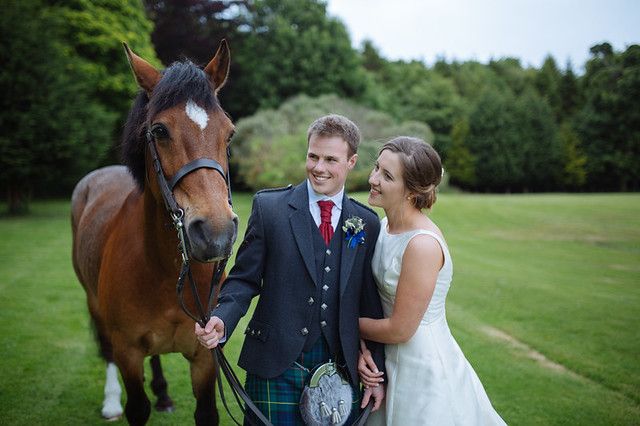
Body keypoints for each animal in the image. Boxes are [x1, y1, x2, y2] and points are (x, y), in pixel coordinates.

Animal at [71, 40, 237, 425]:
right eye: (160, 131)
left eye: (229, 133)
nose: (217, 232)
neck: (161, 268)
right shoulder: (128, 352)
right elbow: (137, 406)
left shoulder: (205, 355)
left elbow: (206, 411)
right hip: (94, 306)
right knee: (107, 351)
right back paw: (111, 402)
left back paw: (162, 393)